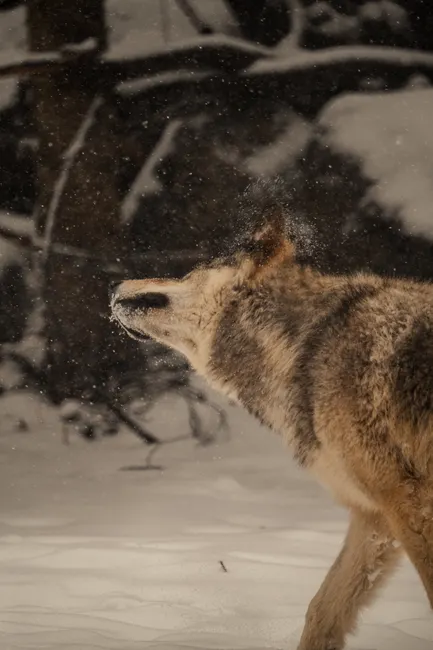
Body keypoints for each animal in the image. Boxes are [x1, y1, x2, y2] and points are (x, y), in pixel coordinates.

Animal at [111, 211, 433, 650]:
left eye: (190, 271)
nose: (115, 285)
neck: (307, 345)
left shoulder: (408, 503)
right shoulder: (375, 517)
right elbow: (321, 610)